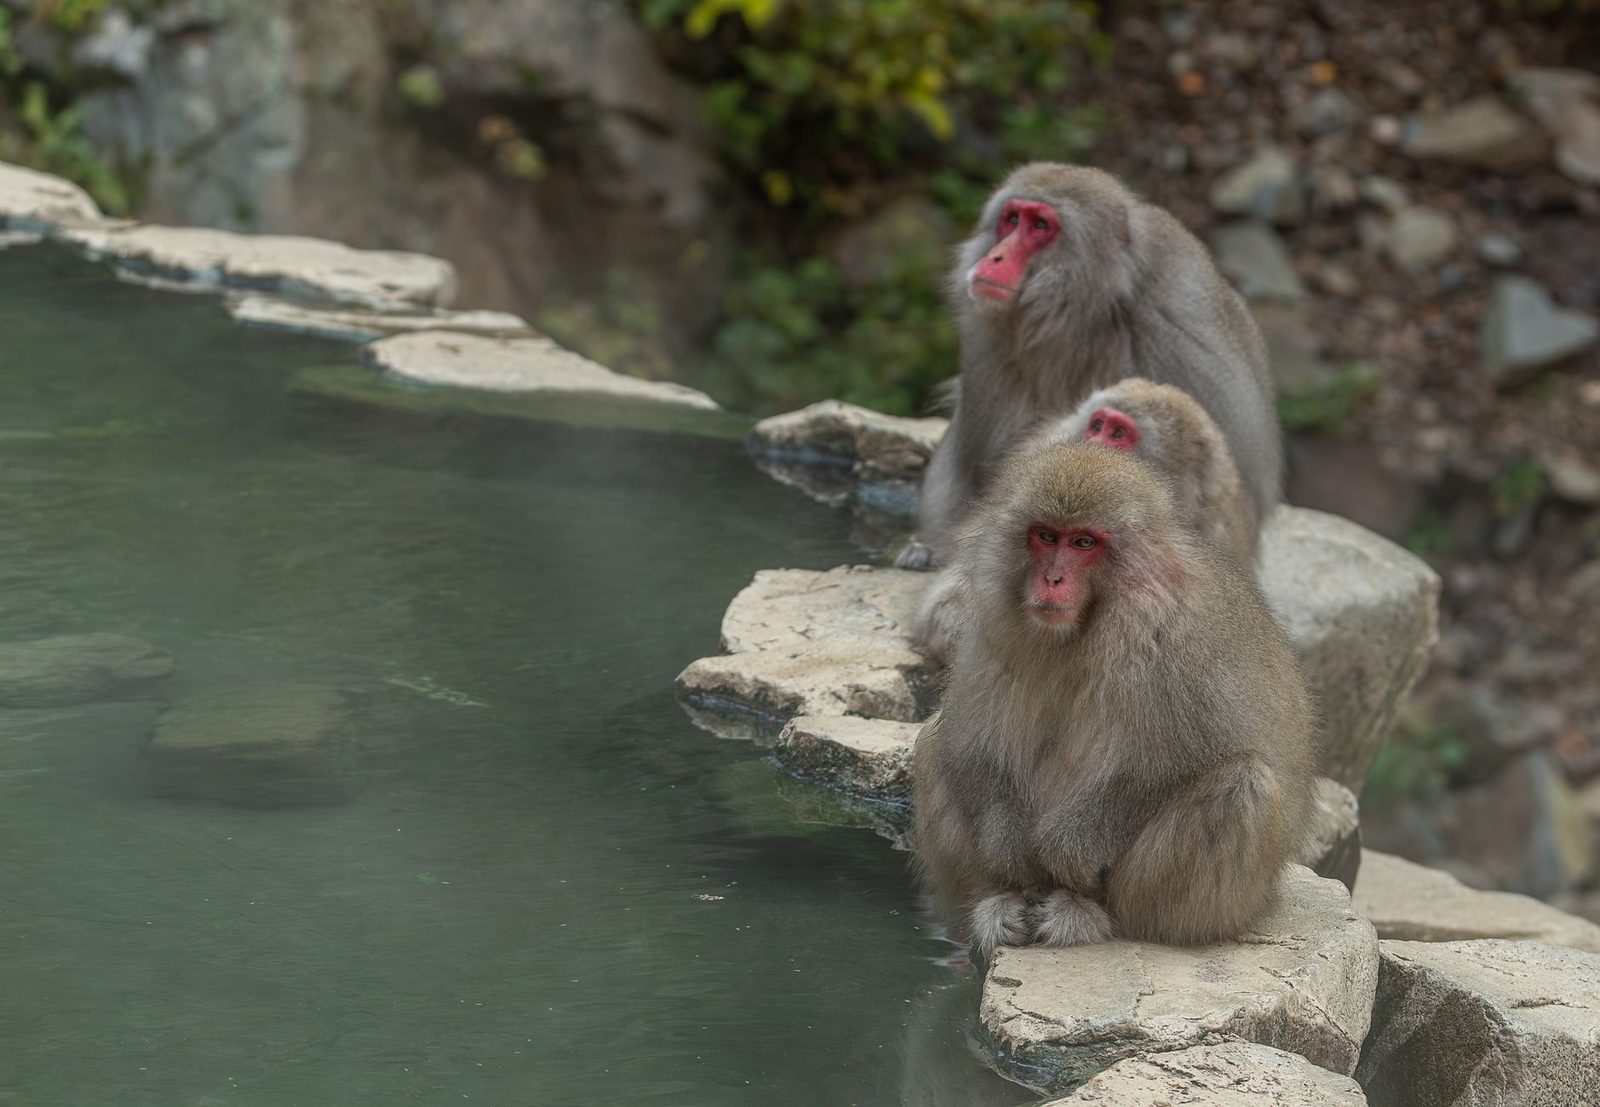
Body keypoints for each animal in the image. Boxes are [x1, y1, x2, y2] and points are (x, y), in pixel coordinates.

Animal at [897, 164, 1279, 571]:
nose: (994, 256)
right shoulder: (987, 336)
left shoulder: (1182, 333)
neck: (1087, 315)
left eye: (1040, 226)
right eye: (1011, 219)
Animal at [910, 441, 1314, 957]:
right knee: (932, 742)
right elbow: (971, 741)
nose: (1053, 580)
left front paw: (1068, 848)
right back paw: (1002, 900)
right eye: (1046, 536)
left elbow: (1178, 762)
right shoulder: (986, 622)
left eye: (1084, 543)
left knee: (1244, 784)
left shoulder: (1177, 636)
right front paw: (1008, 848)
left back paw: (1096, 914)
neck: (1092, 621)